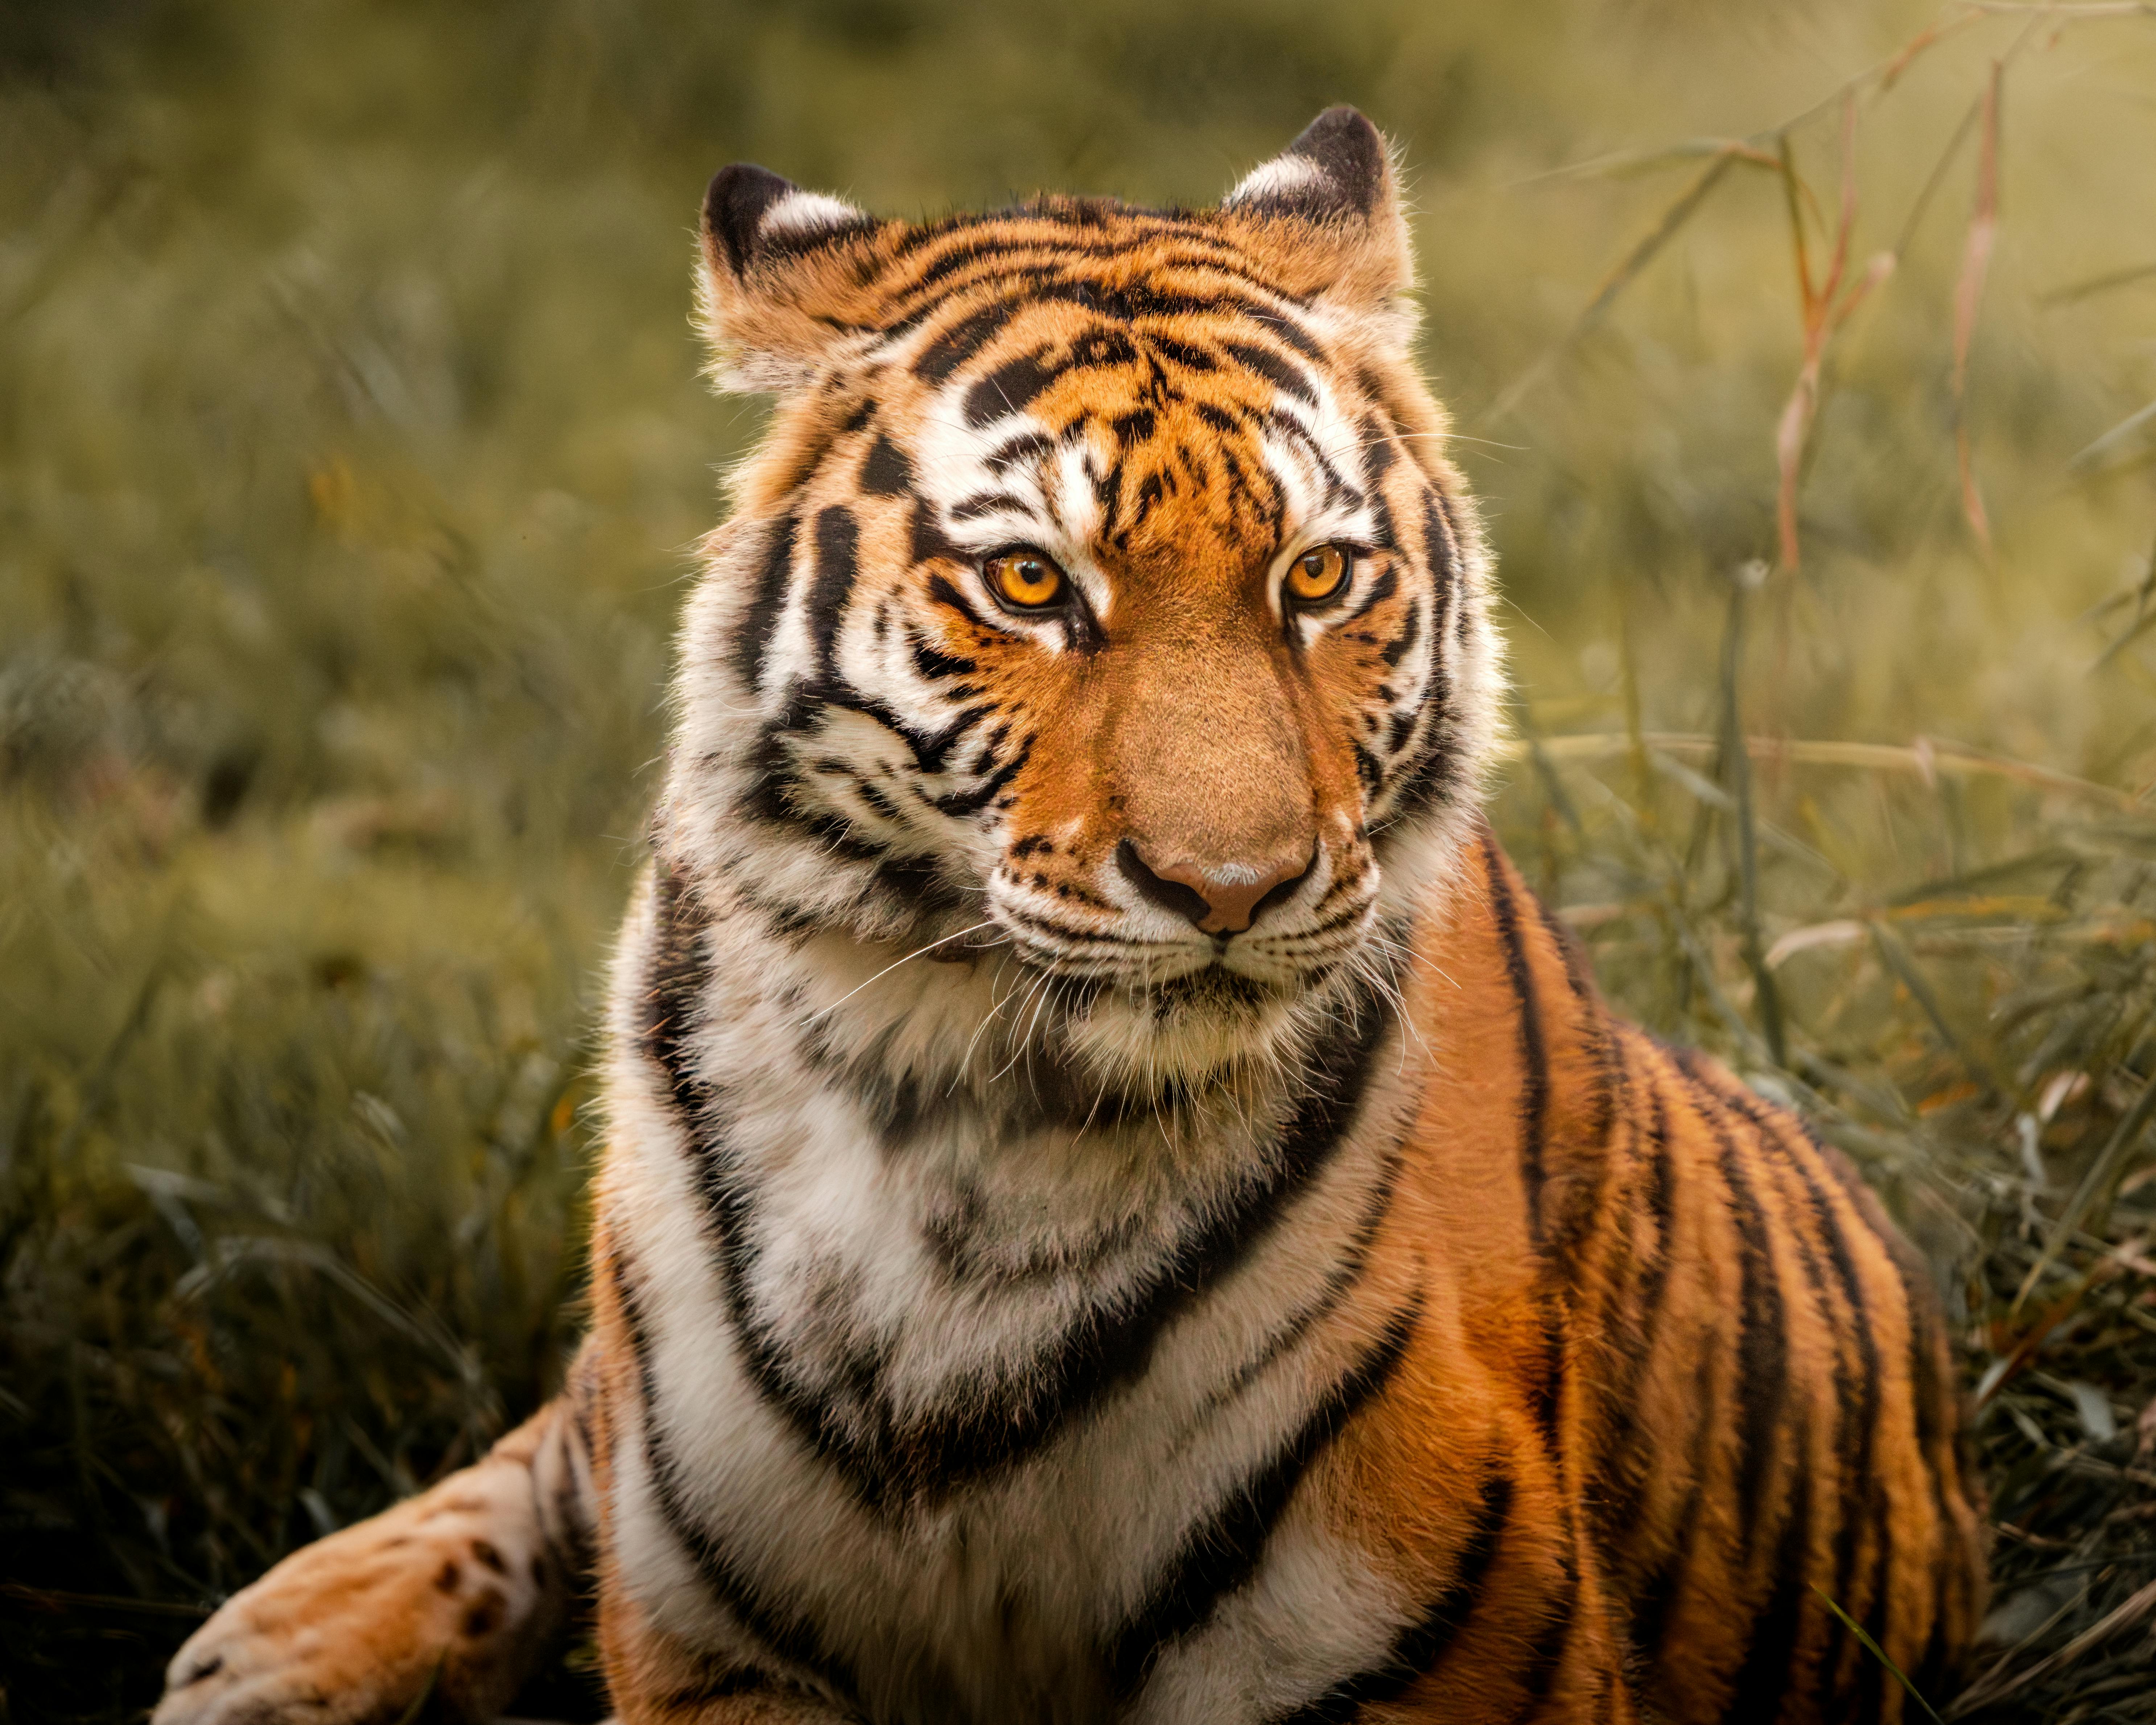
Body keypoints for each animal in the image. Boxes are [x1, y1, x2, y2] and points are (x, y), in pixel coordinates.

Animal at [151, 107, 1986, 1725]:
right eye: (1031, 584)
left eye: (1317, 578)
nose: (1230, 886)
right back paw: (269, 1651)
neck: (972, 1116)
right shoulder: (716, 1634)